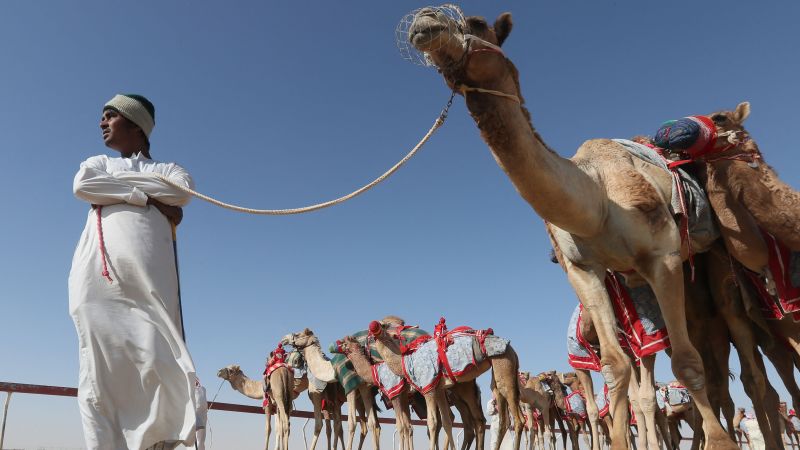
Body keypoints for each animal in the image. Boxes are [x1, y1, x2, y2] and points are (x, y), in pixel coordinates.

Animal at [404, 8, 734, 450]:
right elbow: (614, 366)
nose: (425, 19)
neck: (596, 200)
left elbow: (686, 361)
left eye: (475, 23)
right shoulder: (584, 269)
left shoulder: (662, 255)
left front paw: (721, 442)